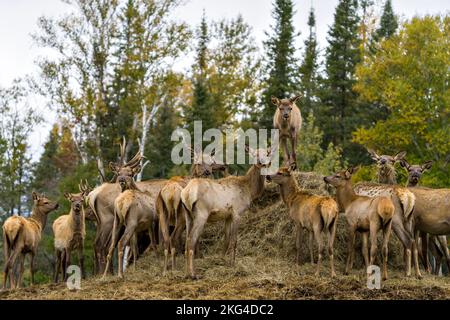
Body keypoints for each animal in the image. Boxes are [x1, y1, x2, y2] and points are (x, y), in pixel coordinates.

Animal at [180, 146, 272, 278]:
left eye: (267, 155)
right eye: (256, 155)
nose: (263, 162)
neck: (249, 190)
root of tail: (186, 193)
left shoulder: (227, 216)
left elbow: (226, 240)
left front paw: (222, 261)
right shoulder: (237, 213)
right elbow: (234, 240)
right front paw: (232, 264)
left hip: (188, 215)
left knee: (187, 240)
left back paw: (187, 273)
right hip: (201, 214)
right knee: (191, 240)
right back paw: (193, 274)